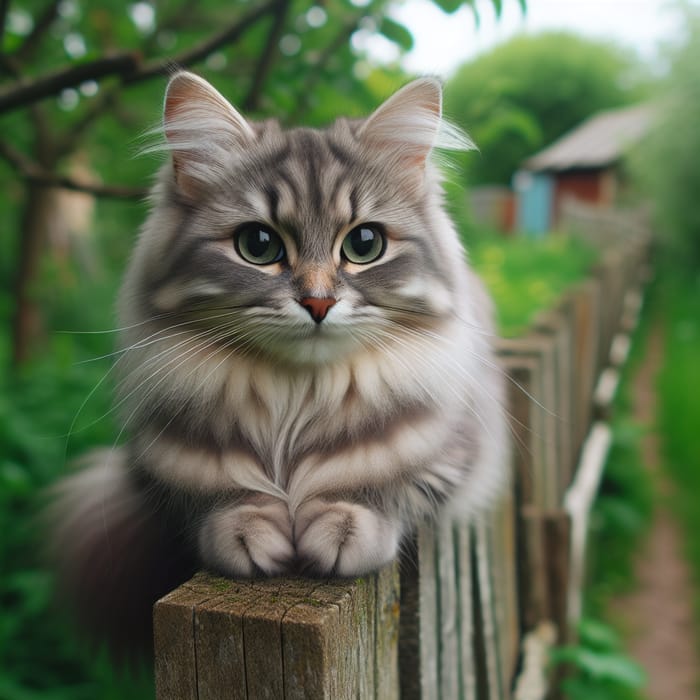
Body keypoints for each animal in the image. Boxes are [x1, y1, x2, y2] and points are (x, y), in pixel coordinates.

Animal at [49, 72, 508, 652]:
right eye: (259, 244)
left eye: (364, 243)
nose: (318, 302)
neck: (296, 399)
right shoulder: (160, 472)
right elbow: (218, 501)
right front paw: (248, 534)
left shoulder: (459, 452)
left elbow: (388, 489)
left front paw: (340, 528)